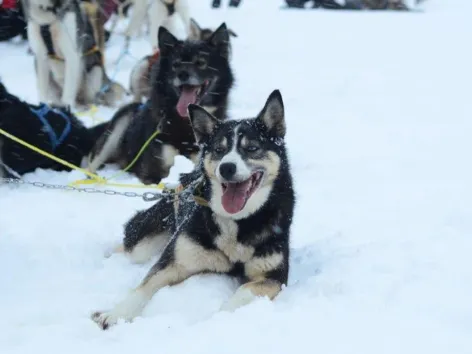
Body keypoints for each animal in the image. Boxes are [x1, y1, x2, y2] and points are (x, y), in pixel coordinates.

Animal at [86, 23, 234, 185]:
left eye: (201, 62)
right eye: (175, 64)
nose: (183, 74)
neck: (185, 123)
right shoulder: (151, 174)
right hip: (118, 127)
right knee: (90, 166)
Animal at [90, 89, 294, 330]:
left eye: (252, 148)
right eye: (219, 150)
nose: (226, 167)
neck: (236, 223)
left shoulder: (273, 277)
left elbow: (244, 292)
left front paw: (219, 317)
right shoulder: (175, 262)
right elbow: (142, 288)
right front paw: (116, 314)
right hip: (144, 243)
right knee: (129, 247)